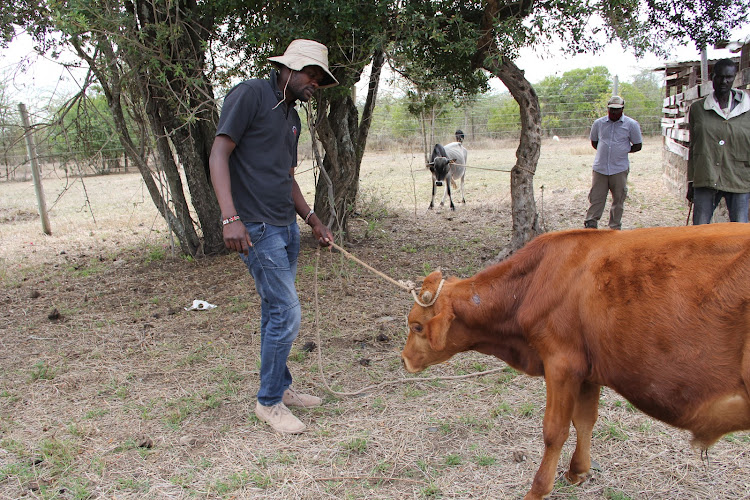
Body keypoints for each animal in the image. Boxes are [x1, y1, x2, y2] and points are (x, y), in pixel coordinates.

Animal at [406, 224, 750, 500]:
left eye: (417, 326)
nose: (405, 359)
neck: (534, 281)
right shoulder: (588, 370)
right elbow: (584, 420)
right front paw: (577, 471)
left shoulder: (561, 363)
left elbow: (554, 430)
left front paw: (538, 489)